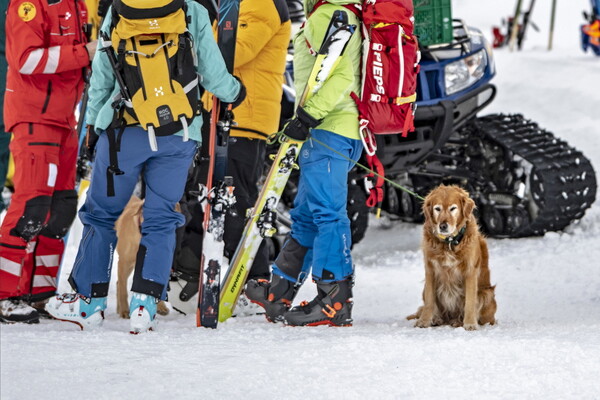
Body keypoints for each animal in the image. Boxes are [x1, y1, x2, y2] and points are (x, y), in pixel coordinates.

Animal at [408, 186, 496, 330]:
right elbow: (429, 301)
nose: (443, 226)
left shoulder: (470, 271)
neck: (449, 242)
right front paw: (424, 321)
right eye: (437, 208)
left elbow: (470, 302)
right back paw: (437, 319)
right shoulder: (430, 270)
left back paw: (459, 321)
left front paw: (470, 323)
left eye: (453, 208)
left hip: (486, 294)